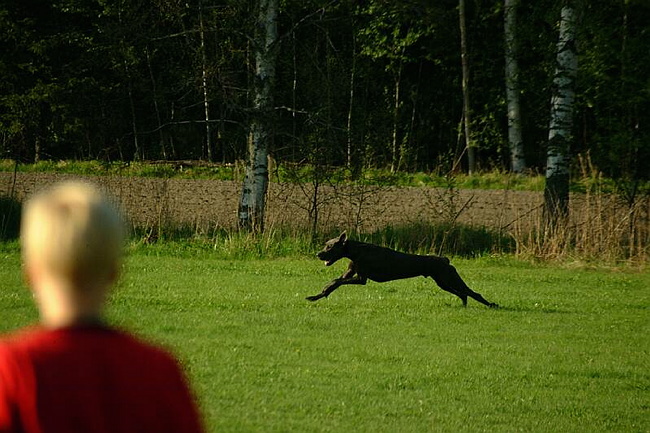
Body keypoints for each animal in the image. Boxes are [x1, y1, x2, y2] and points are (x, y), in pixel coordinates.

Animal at [304, 233, 496, 308]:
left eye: (330, 247)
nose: (318, 254)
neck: (355, 251)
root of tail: (445, 259)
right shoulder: (350, 274)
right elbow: (334, 283)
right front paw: (316, 296)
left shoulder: (361, 278)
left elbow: (337, 282)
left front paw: (322, 291)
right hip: (443, 282)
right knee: (463, 294)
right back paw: (464, 305)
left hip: (450, 278)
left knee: (473, 292)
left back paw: (492, 305)